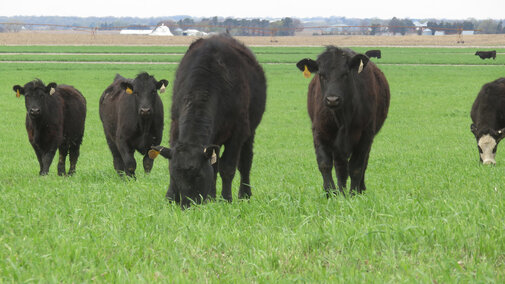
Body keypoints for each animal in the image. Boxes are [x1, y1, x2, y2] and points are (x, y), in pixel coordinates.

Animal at [151, 35, 266, 209]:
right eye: (176, 177)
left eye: (198, 175)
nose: (188, 205)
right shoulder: (175, 125)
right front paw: (171, 198)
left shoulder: (238, 131)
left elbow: (228, 167)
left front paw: (226, 199)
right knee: (215, 165)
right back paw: (211, 197)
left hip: (250, 131)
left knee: (245, 162)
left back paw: (244, 195)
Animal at [296, 47, 390, 197]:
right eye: (321, 75)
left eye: (345, 74)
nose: (332, 99)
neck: (342, 118)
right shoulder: (320, 133)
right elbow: (325, 164)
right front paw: (331, 193)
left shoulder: (365, 136)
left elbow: (357, 167)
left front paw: (353, 194)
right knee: (340, 167)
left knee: (360, 164)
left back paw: (359, 189)